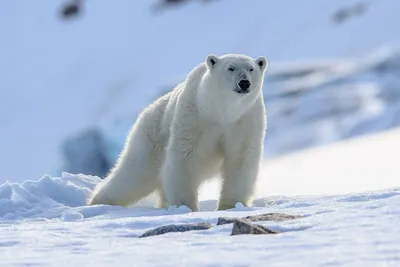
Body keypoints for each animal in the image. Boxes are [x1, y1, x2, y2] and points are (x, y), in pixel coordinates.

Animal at [88, 53, 268, 213]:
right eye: (230, 68)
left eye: (251, 68)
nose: (244, 83)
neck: (221, 112)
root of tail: (146, 111)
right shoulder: (194, 117)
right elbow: (185, 157)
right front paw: (186, 206)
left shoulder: (245, 120)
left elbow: (241, 158)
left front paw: (230, 206)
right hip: (152, 137)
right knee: (135, 173)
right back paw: (98, 202)